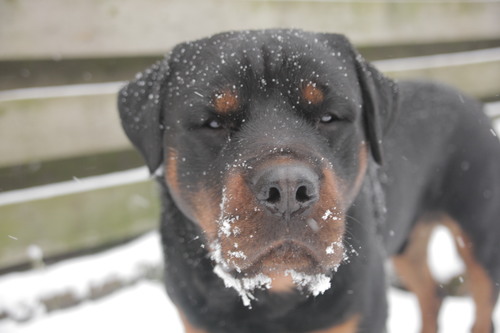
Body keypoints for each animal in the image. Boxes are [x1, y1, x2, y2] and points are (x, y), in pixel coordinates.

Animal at [118, 29, 500, 330]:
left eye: (329, 117)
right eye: (212, 123)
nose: (288, 189)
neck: (278, 291)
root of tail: (471, 99)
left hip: (480, 236)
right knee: (431, 293)